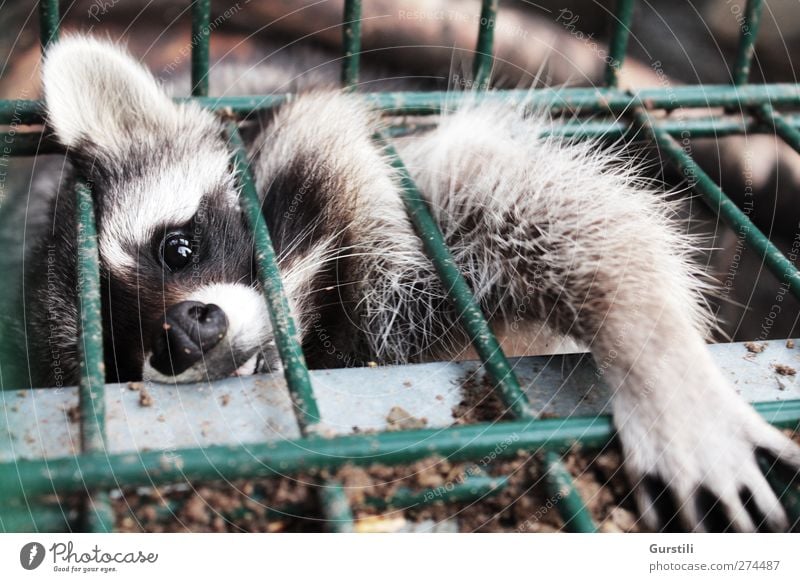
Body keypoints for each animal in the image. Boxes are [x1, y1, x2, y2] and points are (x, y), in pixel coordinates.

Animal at [26, 36, 800, 532]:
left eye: (177, 248)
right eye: (126, 347)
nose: (182, 334)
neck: (322, 313)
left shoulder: (418, 189)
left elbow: (585, 220)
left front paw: (659, 357)